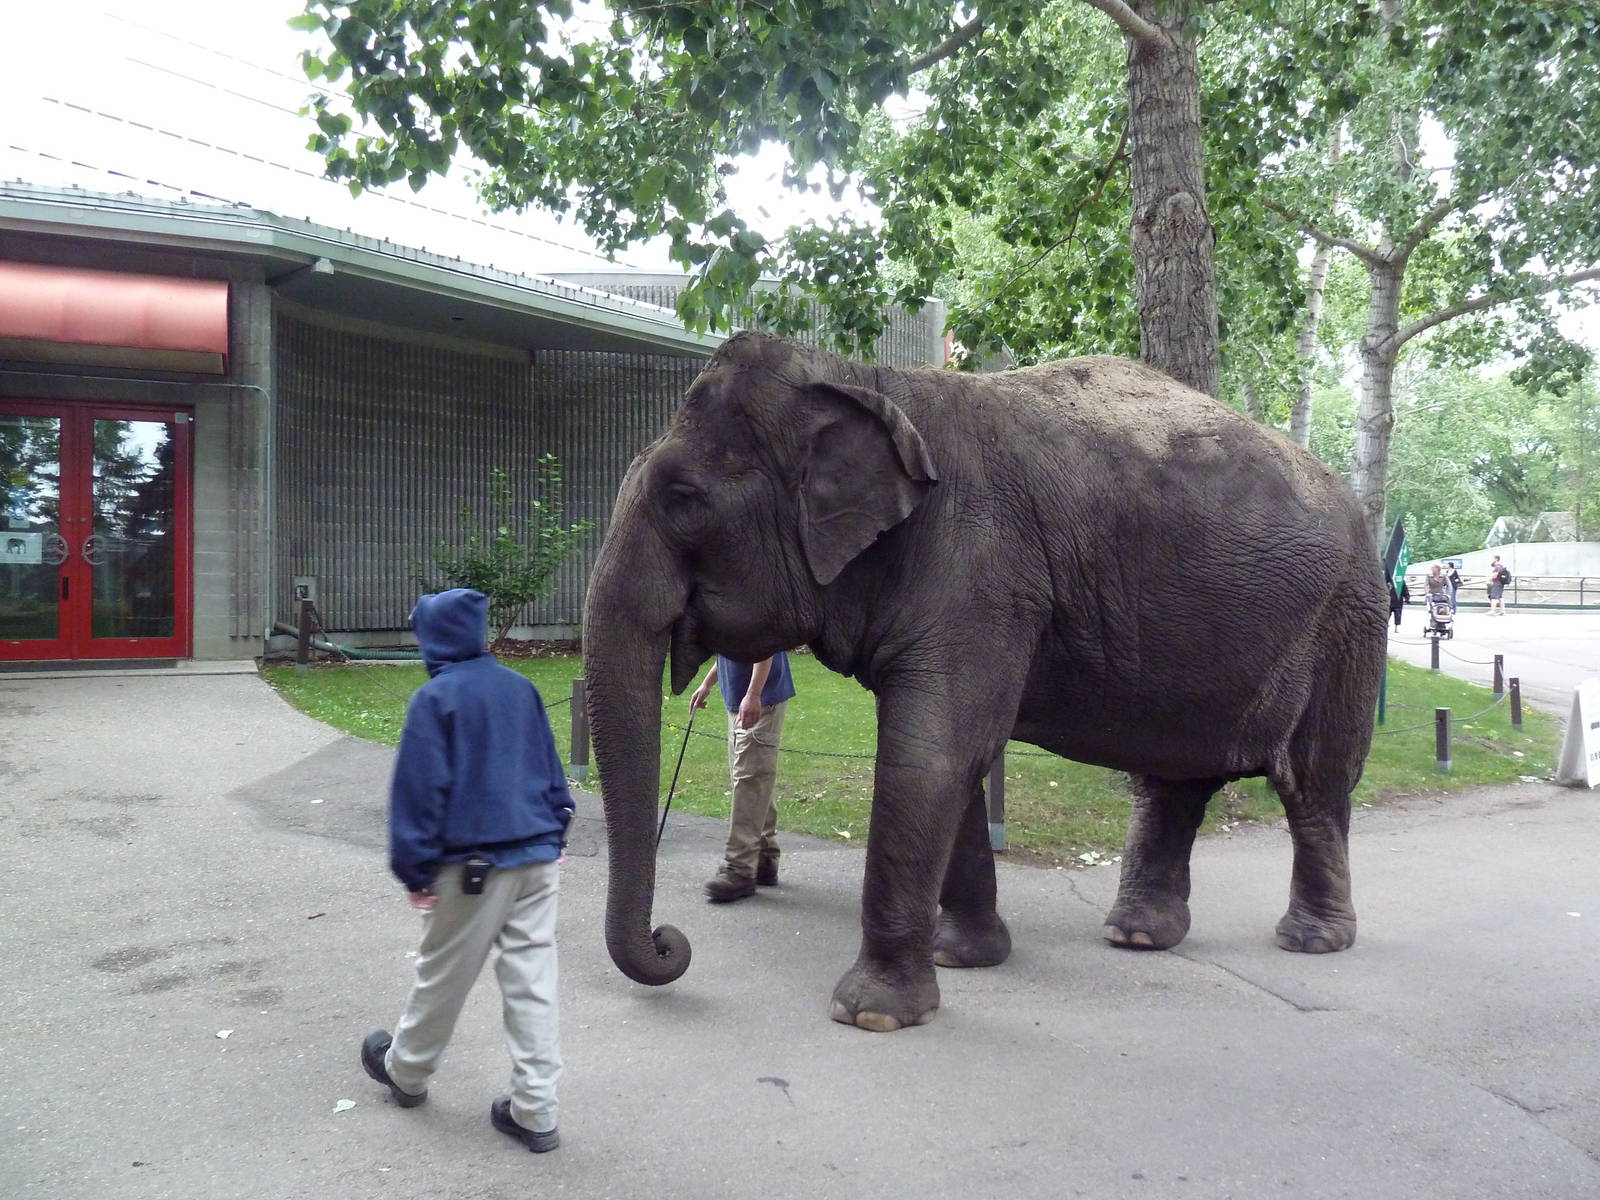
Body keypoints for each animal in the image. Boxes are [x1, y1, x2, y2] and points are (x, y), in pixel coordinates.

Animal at [583, 331, 1387, 1033]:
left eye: (684, 499)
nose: (672, 940)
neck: (869, 378)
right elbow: (951, 759)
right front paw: (961, 957)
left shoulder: (983, 568)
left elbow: (932, 753)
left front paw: (871, 1013)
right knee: (1170, 785)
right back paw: (1136, 935)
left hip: (1345, 623)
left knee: (1312, 781)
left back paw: (1311, 940)